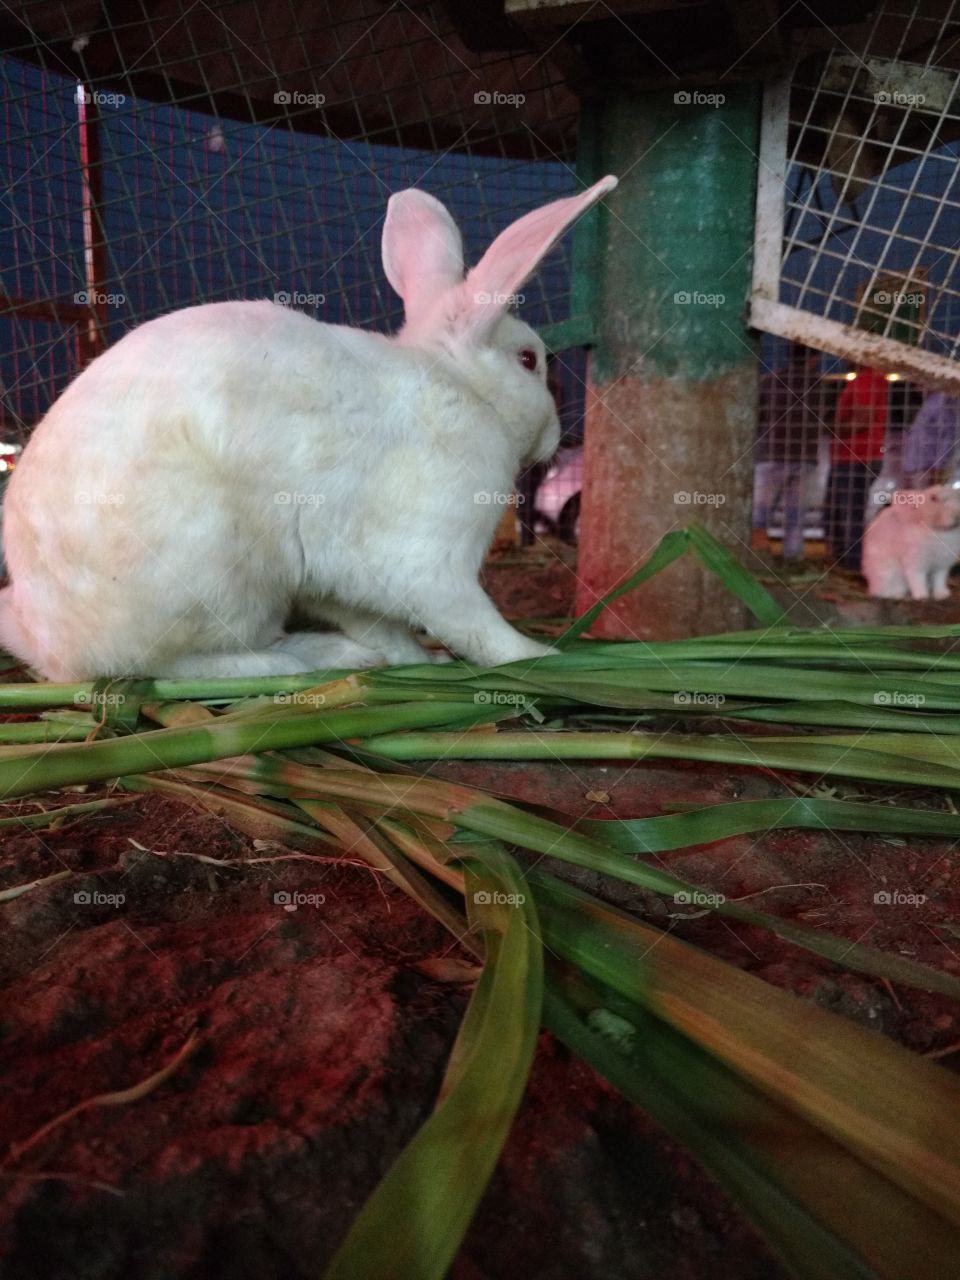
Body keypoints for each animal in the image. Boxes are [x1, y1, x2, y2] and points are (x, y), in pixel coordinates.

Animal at [0, 175, 617, 680]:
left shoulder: (336, 577)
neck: (463, 388)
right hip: (222, 582)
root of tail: (51, 643)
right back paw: (309, 657)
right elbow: (475, 624)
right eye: (528, 360)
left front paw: (419, 660)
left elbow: (382, 624)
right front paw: (540, 655)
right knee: (174, 665)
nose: (553, 434)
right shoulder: (433, 561)